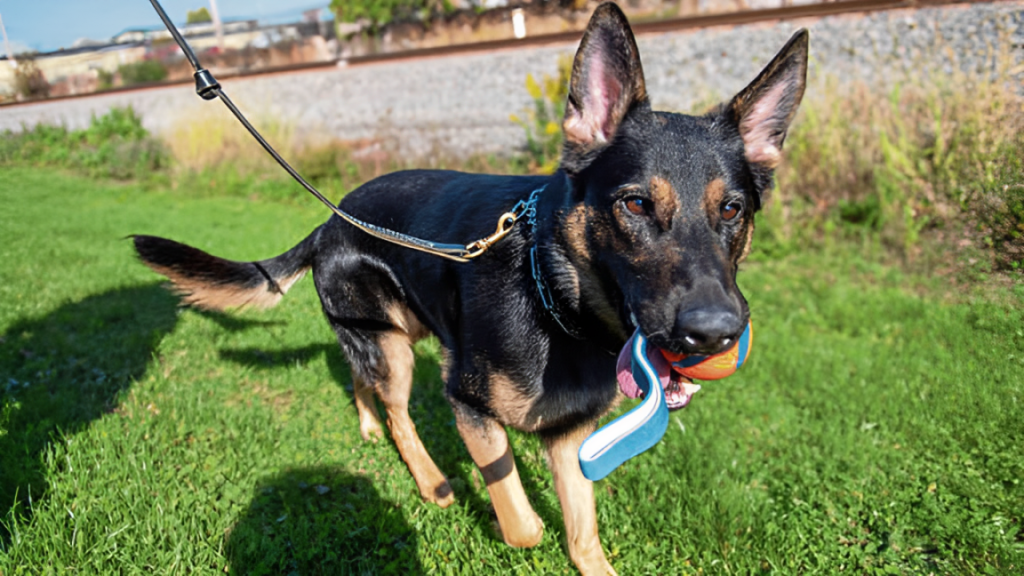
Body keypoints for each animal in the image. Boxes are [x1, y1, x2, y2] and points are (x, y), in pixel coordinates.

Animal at [134, 3, 806, 569]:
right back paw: (428, 477)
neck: (553, 297)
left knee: (360, 376)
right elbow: (524, 523)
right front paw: (512, 522)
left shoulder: (570, 437)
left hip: (396, 333)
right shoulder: (469, 404)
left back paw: (365, 423)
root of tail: (330, 221)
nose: (715, 335)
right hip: (399, 351)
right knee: (399, 412)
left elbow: (583, 533)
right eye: (636, 204)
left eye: (733, 210)